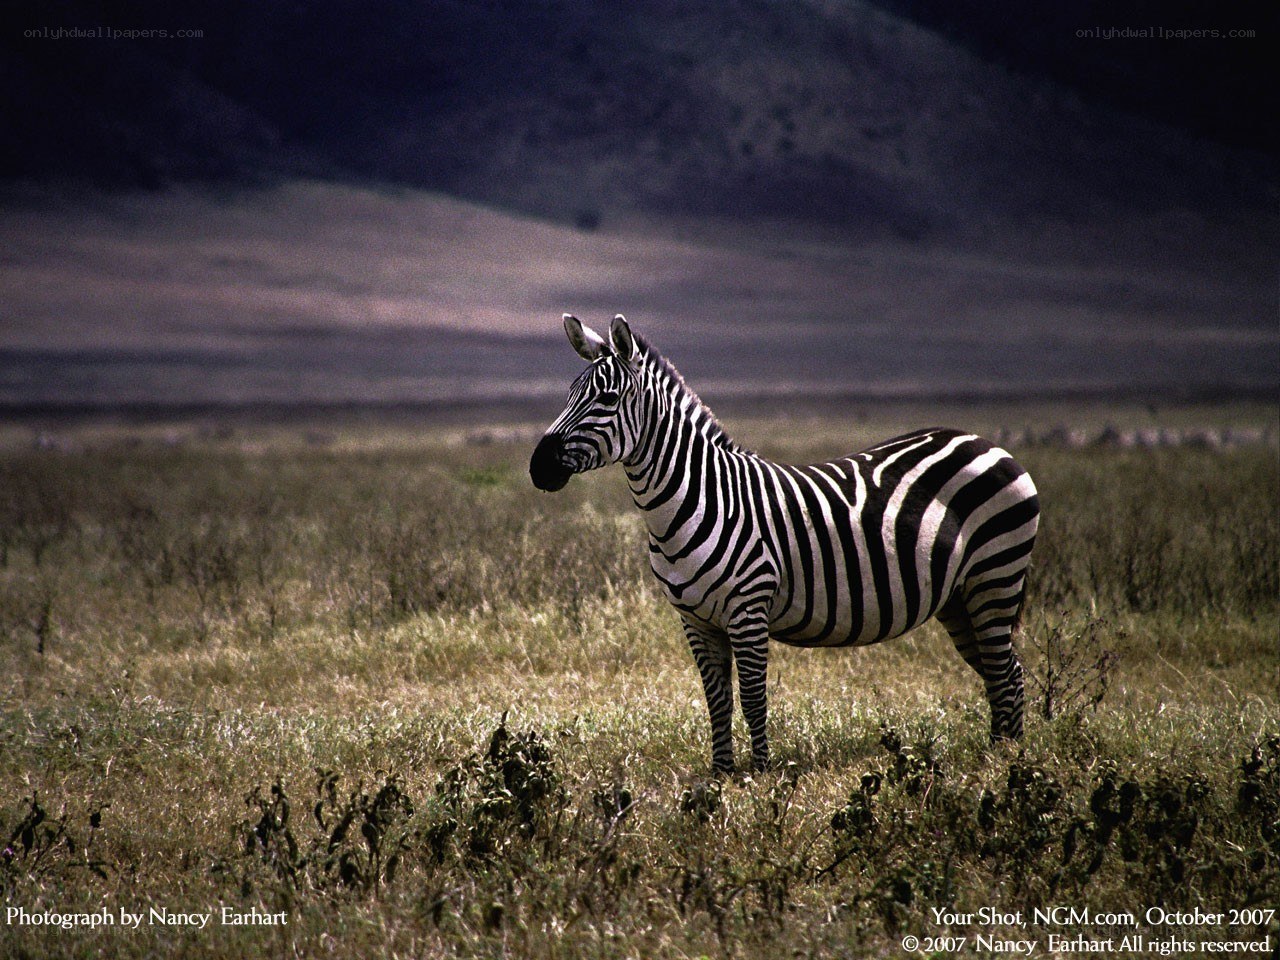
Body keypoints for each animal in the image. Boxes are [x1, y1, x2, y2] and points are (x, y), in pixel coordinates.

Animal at [530, 314, 1040, 774]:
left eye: (607, 398)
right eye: (569, 393)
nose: (538, 466)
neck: (696, 498)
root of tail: (985, 441)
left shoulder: (748, 607)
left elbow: (753, 698)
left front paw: (761, 777)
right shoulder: (695, 620)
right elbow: (717, 700)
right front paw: (721, 776)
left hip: (995, 577)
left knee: (1005, 674)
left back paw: (1006, 766)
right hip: (959, 597)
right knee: (1002, 674)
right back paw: (999, 756)